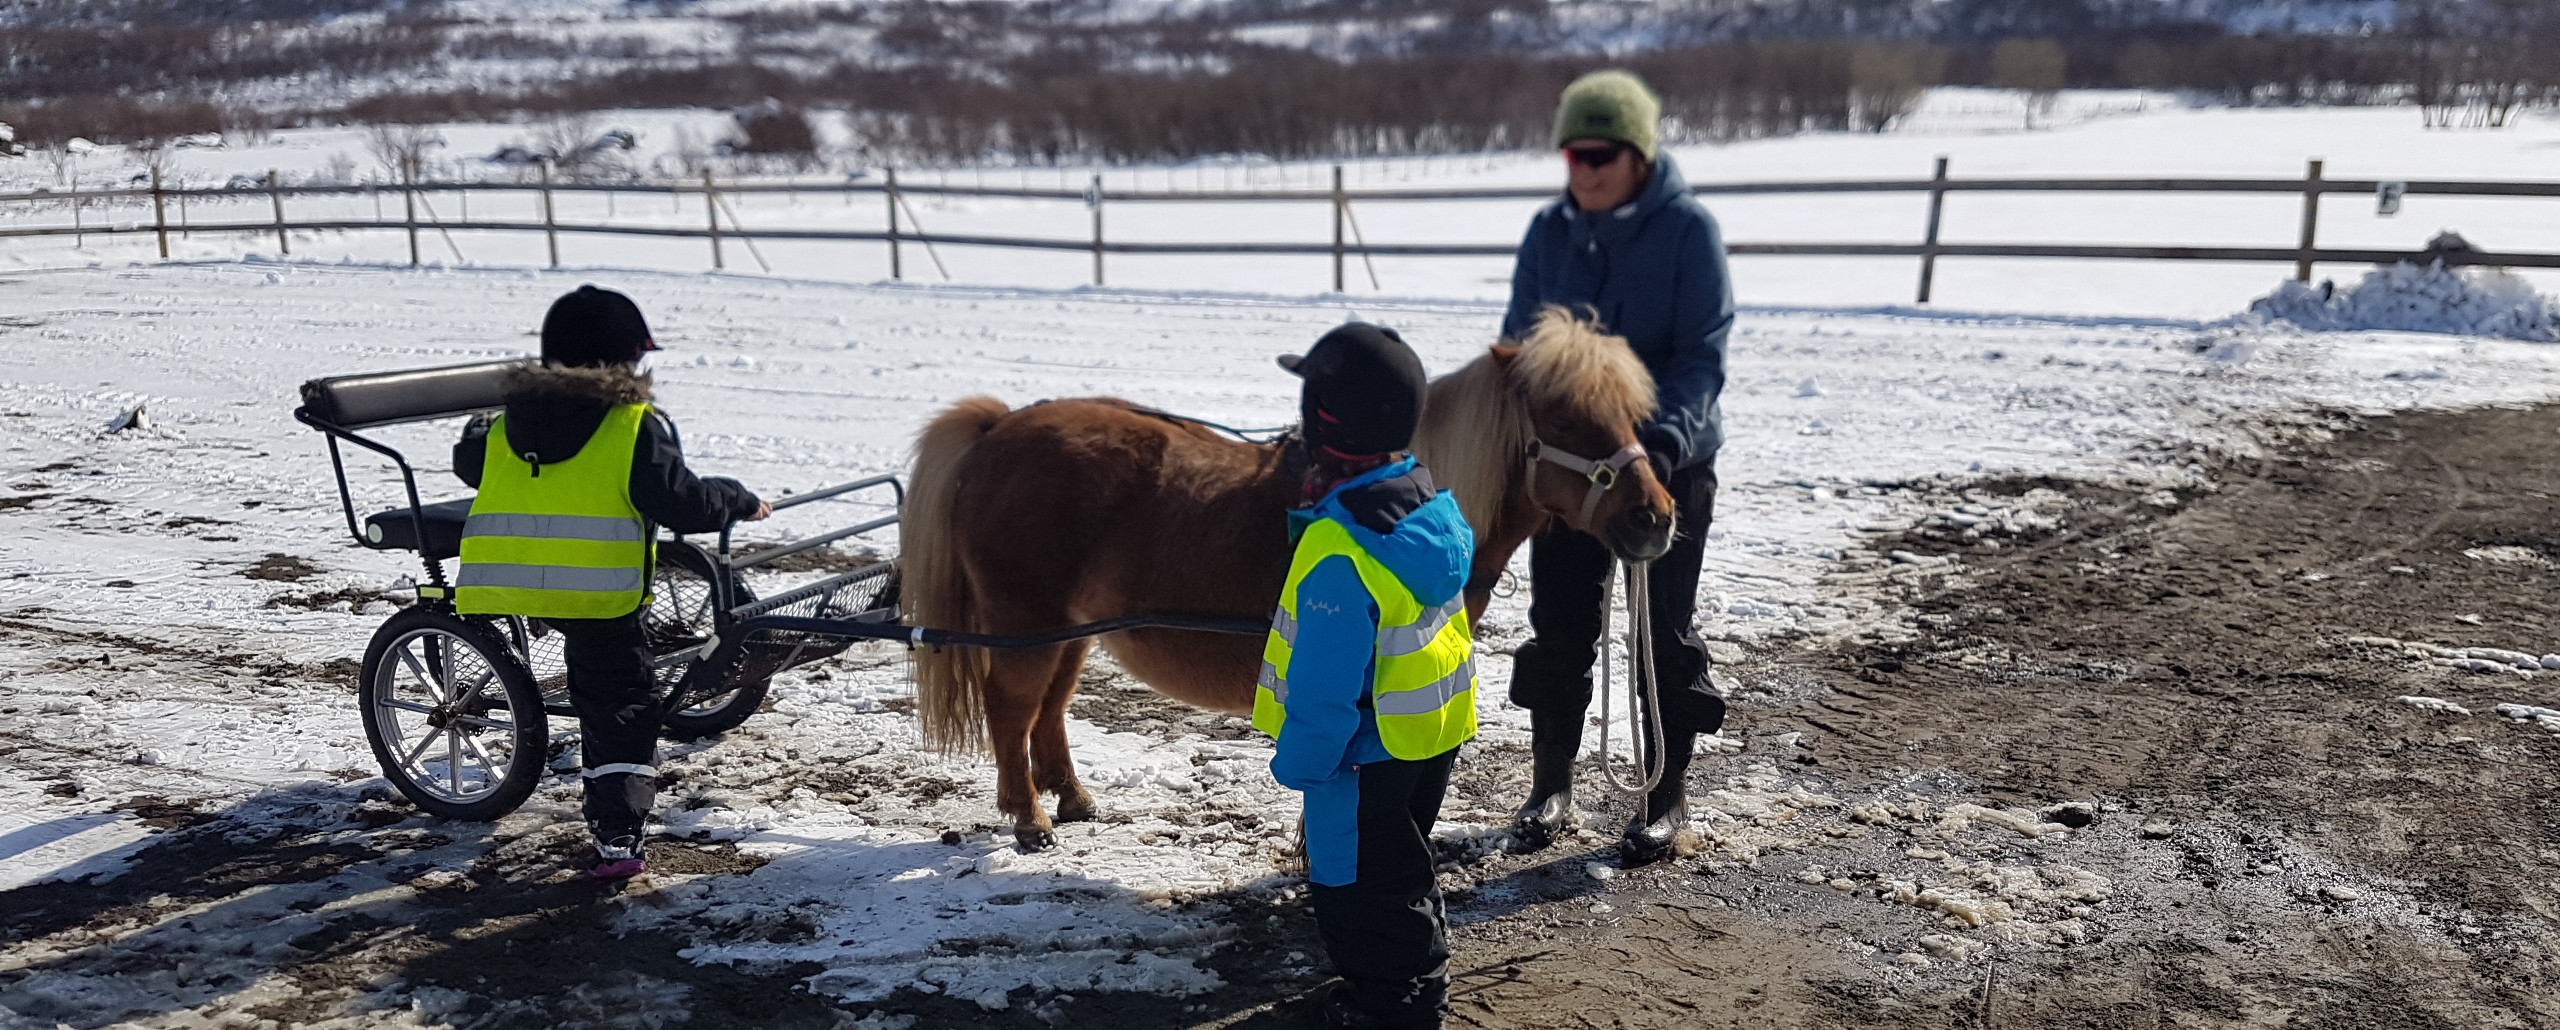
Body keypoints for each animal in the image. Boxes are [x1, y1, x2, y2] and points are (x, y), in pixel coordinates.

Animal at [906, 307, 1679, 845]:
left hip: (1071, 632)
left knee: (1050, 709)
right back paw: (1028, 818)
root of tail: (999, 429)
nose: (1656, 518)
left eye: (1628, 413)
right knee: (1013, 708)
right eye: (1565, 419)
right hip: (1026, 627)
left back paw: (1071, 799)